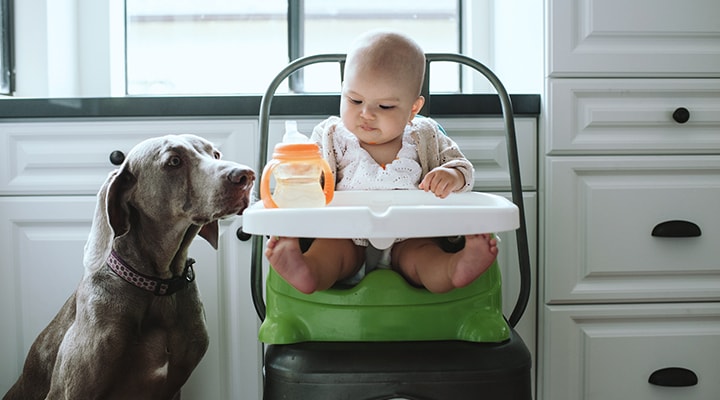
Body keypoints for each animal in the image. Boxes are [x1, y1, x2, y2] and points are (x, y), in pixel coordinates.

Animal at [2, 135, 256, 400]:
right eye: (174, 161)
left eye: (216, 154)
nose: (247, 176)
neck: (158, 283)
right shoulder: (69, 391)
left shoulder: (173, 387)